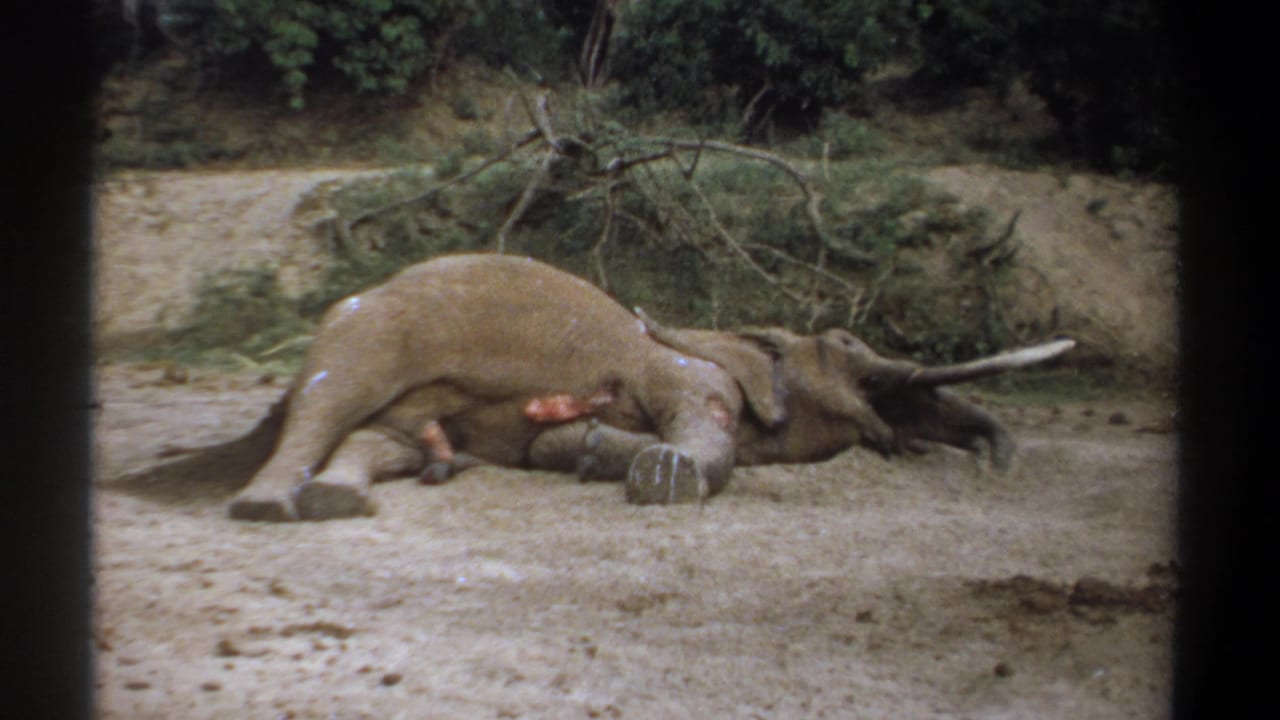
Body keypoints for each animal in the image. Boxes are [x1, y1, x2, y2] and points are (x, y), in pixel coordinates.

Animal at [227, 253, 1073, 521]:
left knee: (382, 438)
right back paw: (266, 505)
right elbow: (701, 420)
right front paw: (663, 476)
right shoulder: (691, 370)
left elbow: (549, 446)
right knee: (329, 402)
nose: (996, 467)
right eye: (847, 348)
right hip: (372, 330)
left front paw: (591, 449)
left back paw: (343, 496)